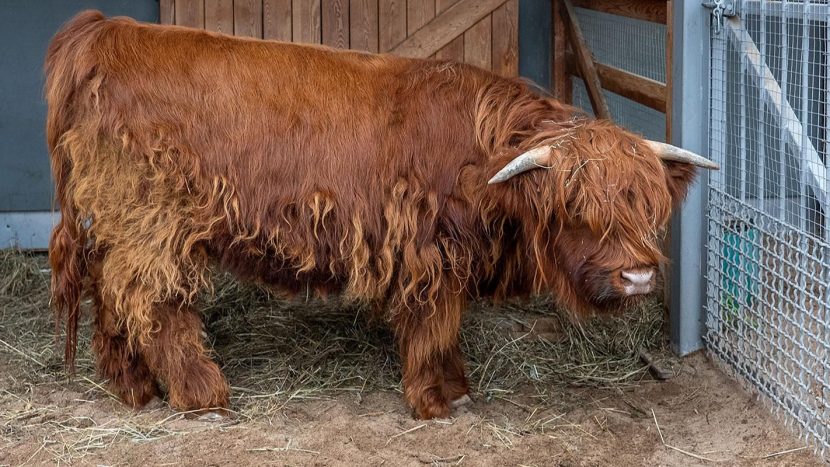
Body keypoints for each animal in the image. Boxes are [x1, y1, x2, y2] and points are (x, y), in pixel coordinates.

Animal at [46, 10, 717, 420]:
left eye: (647, 206)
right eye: (575, 207)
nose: (638, 276)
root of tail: (107, 31)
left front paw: (455, 387)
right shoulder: (428, 254)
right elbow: (433, 325)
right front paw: (437, 399)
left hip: (120, 224)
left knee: (111, 293)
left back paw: (132, 387)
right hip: (154, 224)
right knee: (151, 301)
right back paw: (201, 393)